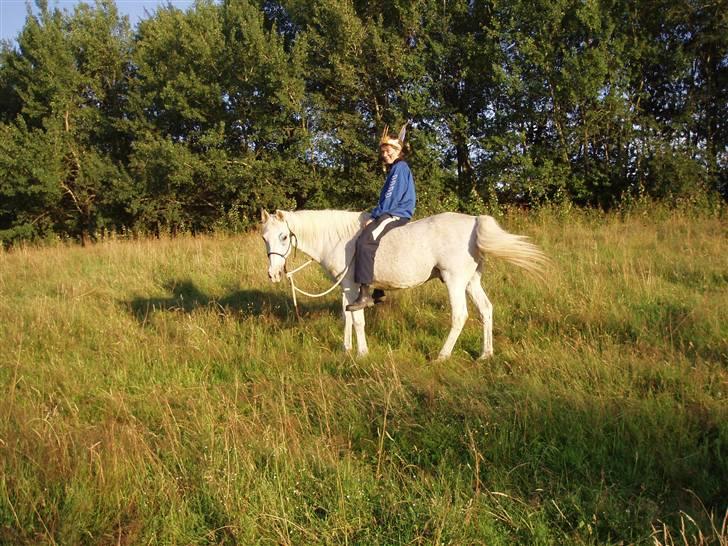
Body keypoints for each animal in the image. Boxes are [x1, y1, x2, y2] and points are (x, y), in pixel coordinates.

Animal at [262, 207, 544, 356]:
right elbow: (347, 318)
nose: (274, 274)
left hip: (454, 281)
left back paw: (442, 356)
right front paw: (346, 348)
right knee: (486, 310)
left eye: (284, 236)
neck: (339, 239)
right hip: (471, 281)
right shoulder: (344, 288)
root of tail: (474, 222)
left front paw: (362, 353)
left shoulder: (352, 287)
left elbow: (358, 320)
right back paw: (486, 354)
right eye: (264, 238)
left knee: (460, 315)